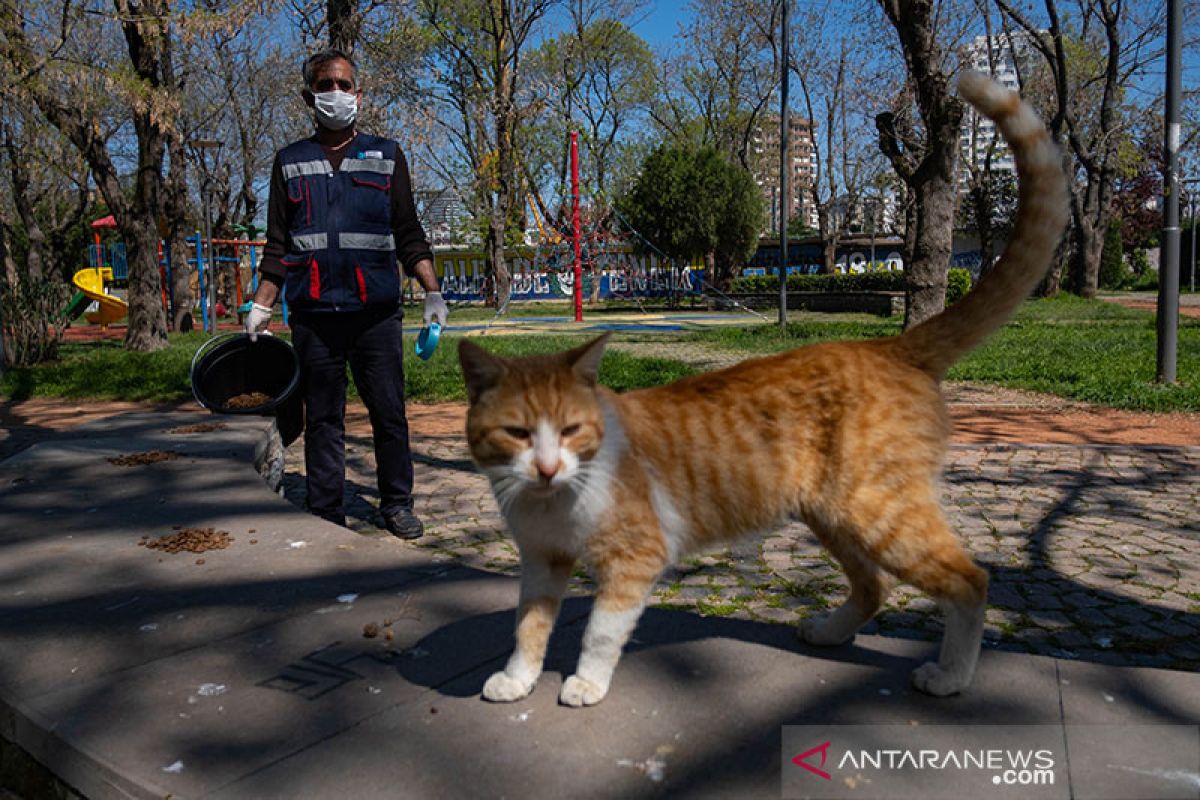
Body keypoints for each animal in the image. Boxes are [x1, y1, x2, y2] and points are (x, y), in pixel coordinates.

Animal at [458, 71, 1070, 705]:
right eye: (517, 432)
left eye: (572, 429)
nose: (547, 467)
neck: (553, 501)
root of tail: (886, 346)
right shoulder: (541, 563)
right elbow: (528, 626)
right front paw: (517, 679)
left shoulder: (635, 558)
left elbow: (601, 629)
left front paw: (584, 682)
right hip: (835, 514)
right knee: (873, 586)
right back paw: (830, 632)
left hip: (880, 512)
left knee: (971, 581)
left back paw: (950, 675)